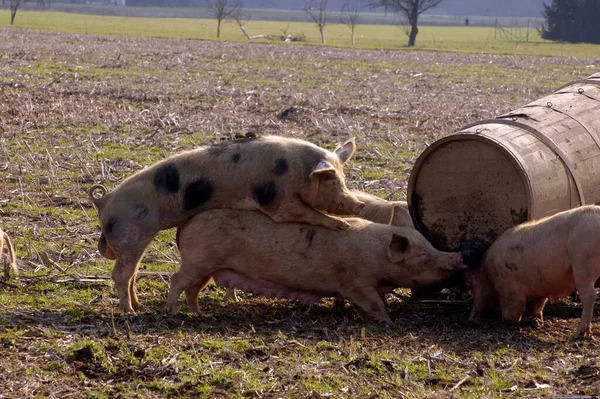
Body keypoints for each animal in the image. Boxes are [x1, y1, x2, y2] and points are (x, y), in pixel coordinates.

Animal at [86, 136, 364, 314]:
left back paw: (140, 306)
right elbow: (303, 213)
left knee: (132, 273)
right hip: (129, 233)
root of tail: (103, 200)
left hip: (134, 238)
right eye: (331, 179)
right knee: (121, 274)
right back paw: (130, 312)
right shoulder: (278, 202)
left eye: (342, 176)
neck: (295, 170)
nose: (358, 204)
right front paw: (341, 225)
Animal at [166, 208, 466, 324]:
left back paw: (199, 314)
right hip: (197, 261)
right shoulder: (356, 283)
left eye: (431, 244)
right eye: (424, 256)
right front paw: (389, 322)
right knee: (176, 280)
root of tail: (185, 225)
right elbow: (374, 304)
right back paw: (171, 312)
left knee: (193, 289)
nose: (458, 257)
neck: (377, 255)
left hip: (207, 267)